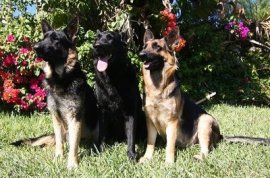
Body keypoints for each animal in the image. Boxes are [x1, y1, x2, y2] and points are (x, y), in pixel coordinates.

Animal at [12, 18, 99, 170]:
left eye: (56, 40)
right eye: (44, 38)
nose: (35, 47)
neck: (60, 79)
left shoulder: (74, 118)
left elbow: (73, 145)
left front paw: (72, 164)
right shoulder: (56, 118)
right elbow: (59, 142)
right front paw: (58, 159)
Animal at [94, 29, 147, 159]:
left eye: (110, 38)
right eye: (97, 38)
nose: (96, 46)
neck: (113, 76)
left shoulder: (131, 111)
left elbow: (131, 136)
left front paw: (131, 154)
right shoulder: (102, 110)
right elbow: (102, 134)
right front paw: (99, 149)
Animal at [139, 27, 270, 163]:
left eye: (157, 47)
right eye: (145, 46)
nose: (141, 55)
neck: (158, 89)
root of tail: (220, 136)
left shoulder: (172, 122)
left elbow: (169, 145)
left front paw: (169, 162)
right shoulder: (150, 122)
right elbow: (150, 142)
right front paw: (147, 157)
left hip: (204, 121)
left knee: (207, 149)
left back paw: (199, 156)